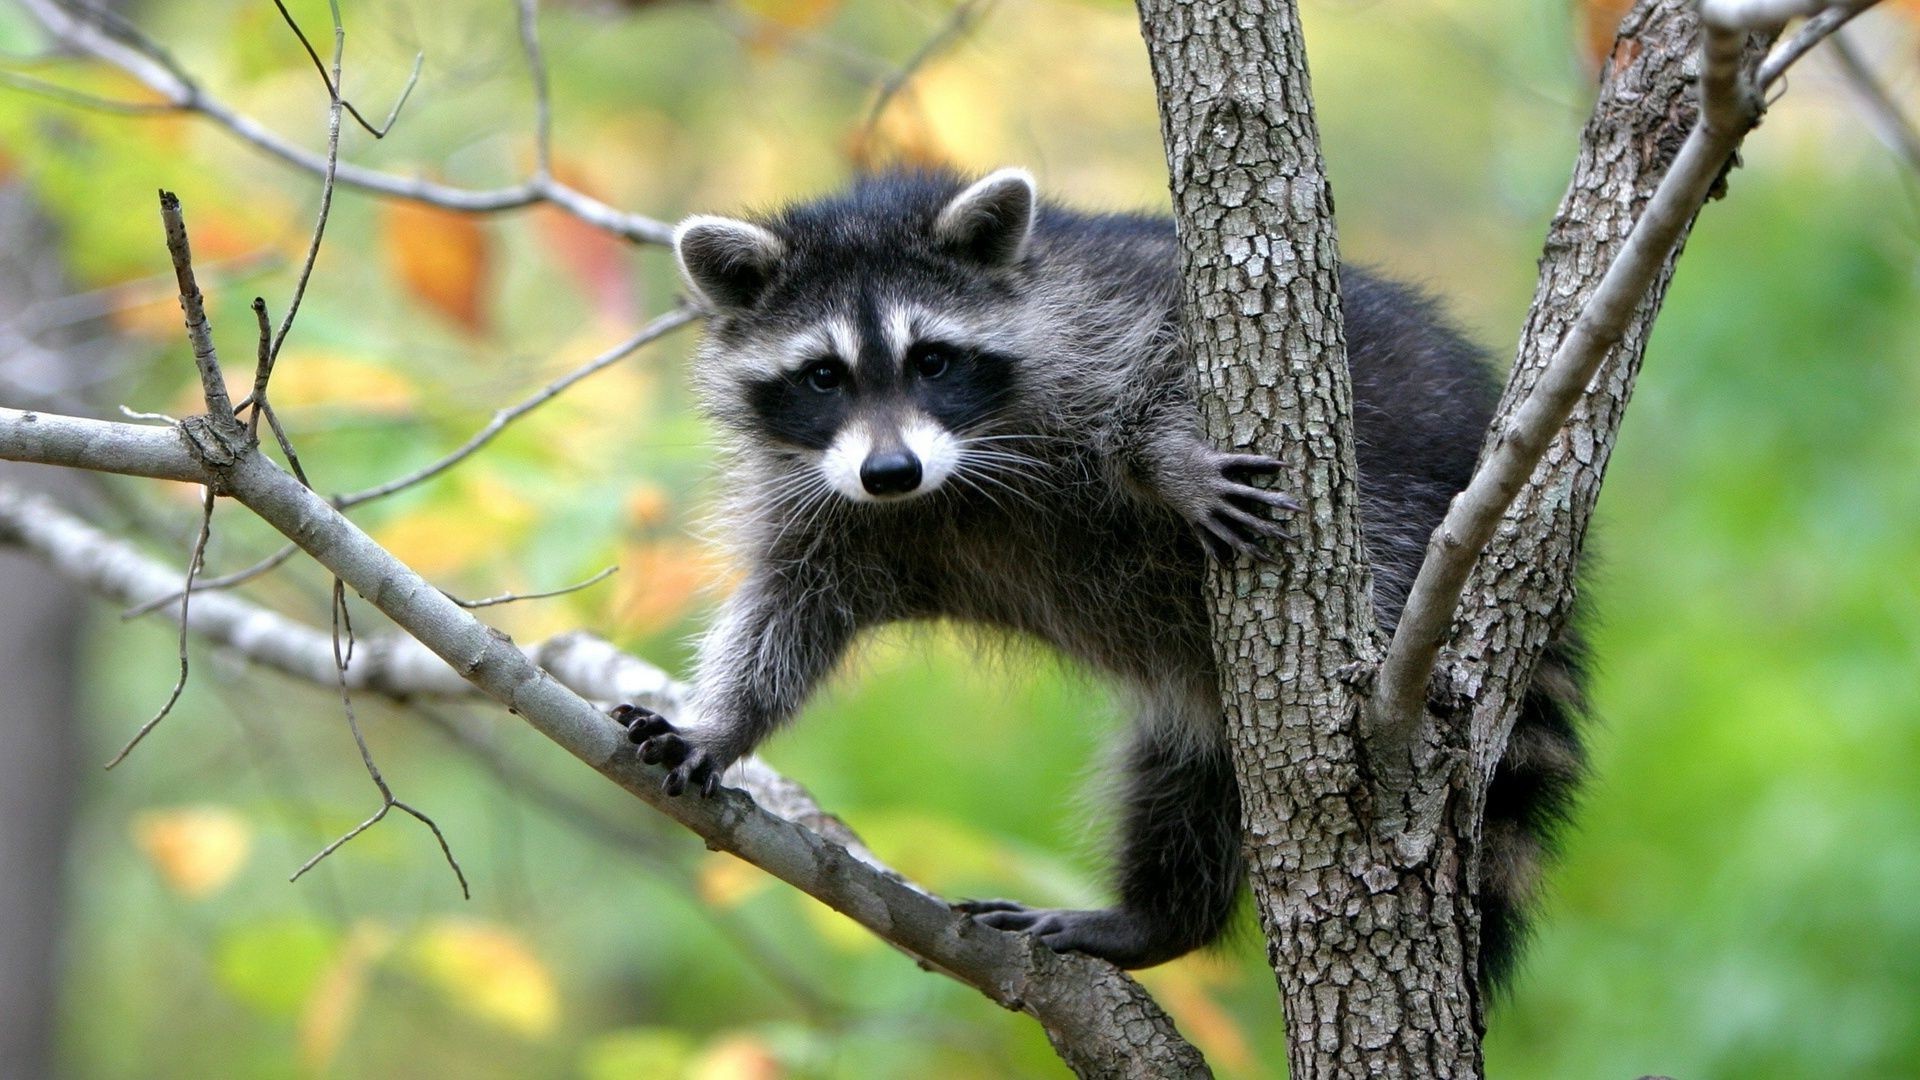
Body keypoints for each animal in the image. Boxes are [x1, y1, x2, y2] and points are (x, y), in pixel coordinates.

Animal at [618, 164, 1589, 980]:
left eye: (931, 359)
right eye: (822, 376)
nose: (890, 471)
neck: (946, 483)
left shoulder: (1101, 315)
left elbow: (1165, 361)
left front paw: (1169, 458)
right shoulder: (824, 502)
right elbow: (788, 613)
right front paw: (722, 725)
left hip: (1399, 514)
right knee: (1186, 776)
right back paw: (1160, 919)